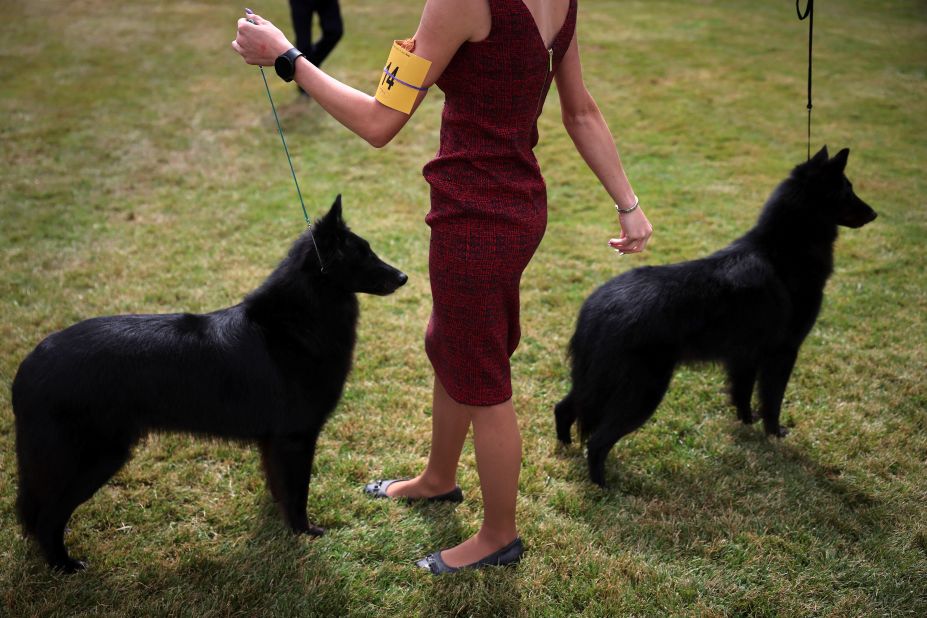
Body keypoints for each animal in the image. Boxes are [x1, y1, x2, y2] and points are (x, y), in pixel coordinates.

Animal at [11, 195, 406, 572]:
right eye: (363, 253)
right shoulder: (297, 438)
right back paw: (63, 565)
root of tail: (29, 366)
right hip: (96, 458)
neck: (296, 322)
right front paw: (303, 532)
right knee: (47, 516)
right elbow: (297, 492)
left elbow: (278, 485)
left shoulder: (275, 442)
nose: (403, 277)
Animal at [556, 147, 880, 484]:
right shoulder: (783, 351)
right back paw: (604, 485)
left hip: (593, 380)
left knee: (563, 409)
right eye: (847, 190)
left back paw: (565, 449)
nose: (874, 214)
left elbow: (743, 392)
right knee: (597, 441)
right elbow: (772, 399)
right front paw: (774, 434)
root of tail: (597, 307)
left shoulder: (746, 355)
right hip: (642, 391)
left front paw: (746, 423)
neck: (784, 248)